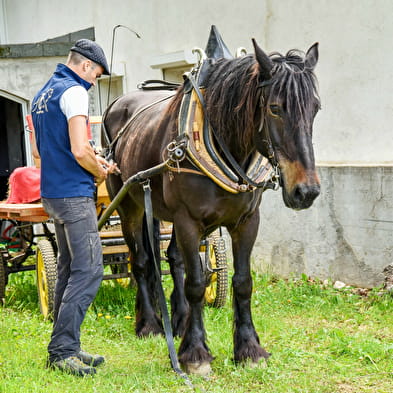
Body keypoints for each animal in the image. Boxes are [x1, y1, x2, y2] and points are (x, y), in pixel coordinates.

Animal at [101, 39, 318, 374]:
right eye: (275, 108)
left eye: (316, 108)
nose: (306, 191)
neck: (225, 146)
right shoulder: (188, 221)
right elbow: (196, 283)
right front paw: (195, 354)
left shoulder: (247, 222)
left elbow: (241, 282)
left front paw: (249, 348)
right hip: (128, 206)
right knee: (141, 262)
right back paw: (149, 324)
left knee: (172, 259)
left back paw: (178, 320)